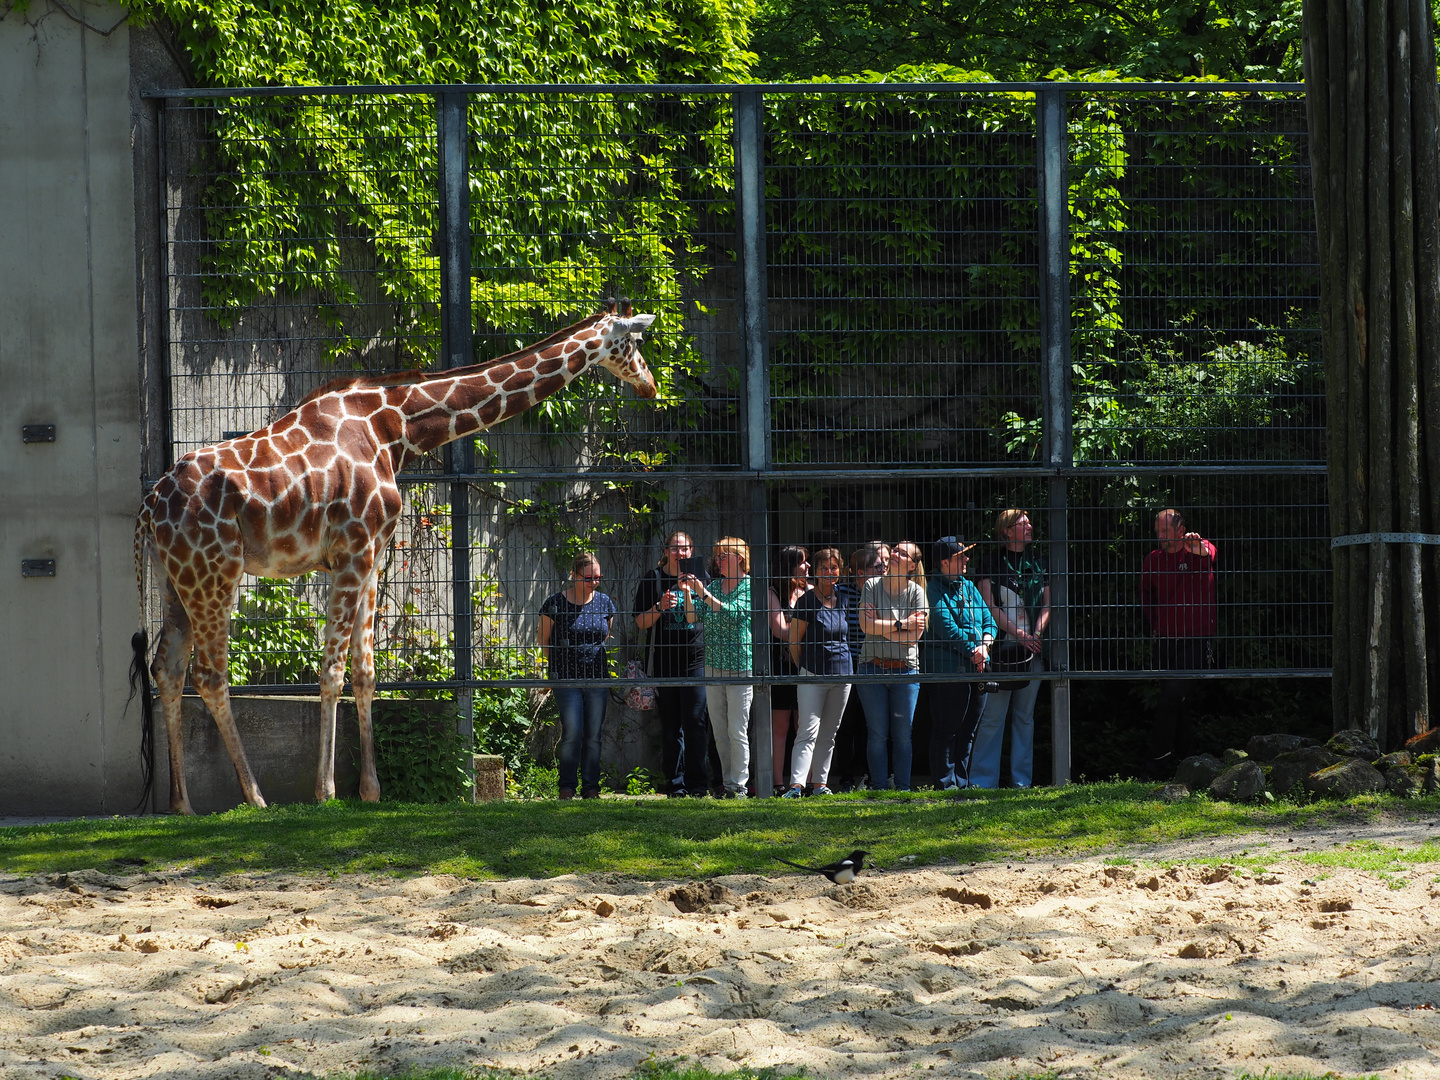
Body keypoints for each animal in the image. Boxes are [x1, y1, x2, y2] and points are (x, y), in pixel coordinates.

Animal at [132, 300, 659, 817]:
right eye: (632, 342)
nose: (650, 384)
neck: (395, 431)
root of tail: (150, 505)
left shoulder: (371, 558)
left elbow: (366, 674)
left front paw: (371, 790)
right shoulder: (352, 552)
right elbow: (332, 671)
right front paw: (325, 792)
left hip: (174, 581)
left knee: (167, 672)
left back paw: (181, 804)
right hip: (215, 573)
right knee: (210, 675)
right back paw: (255, 798)